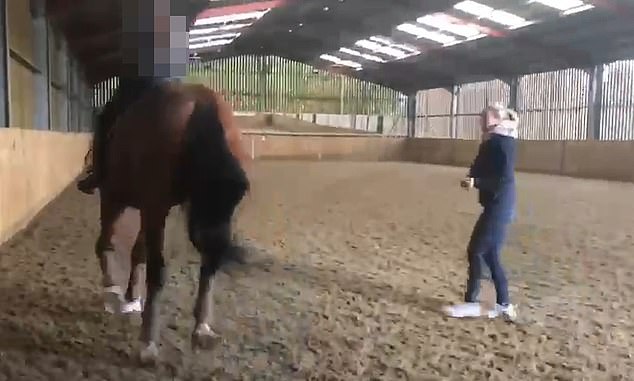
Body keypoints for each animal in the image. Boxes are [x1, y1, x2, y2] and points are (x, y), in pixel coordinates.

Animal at [96, 81, 249, 364]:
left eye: (235, 204)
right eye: (205, 196)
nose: (218, 248)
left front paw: (202, 328)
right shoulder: (156, 207)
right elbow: (157, 270)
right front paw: (148, 344)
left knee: (134, 251)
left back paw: (130, 297)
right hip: (115, 197)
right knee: (104, 242)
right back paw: (111, 287)